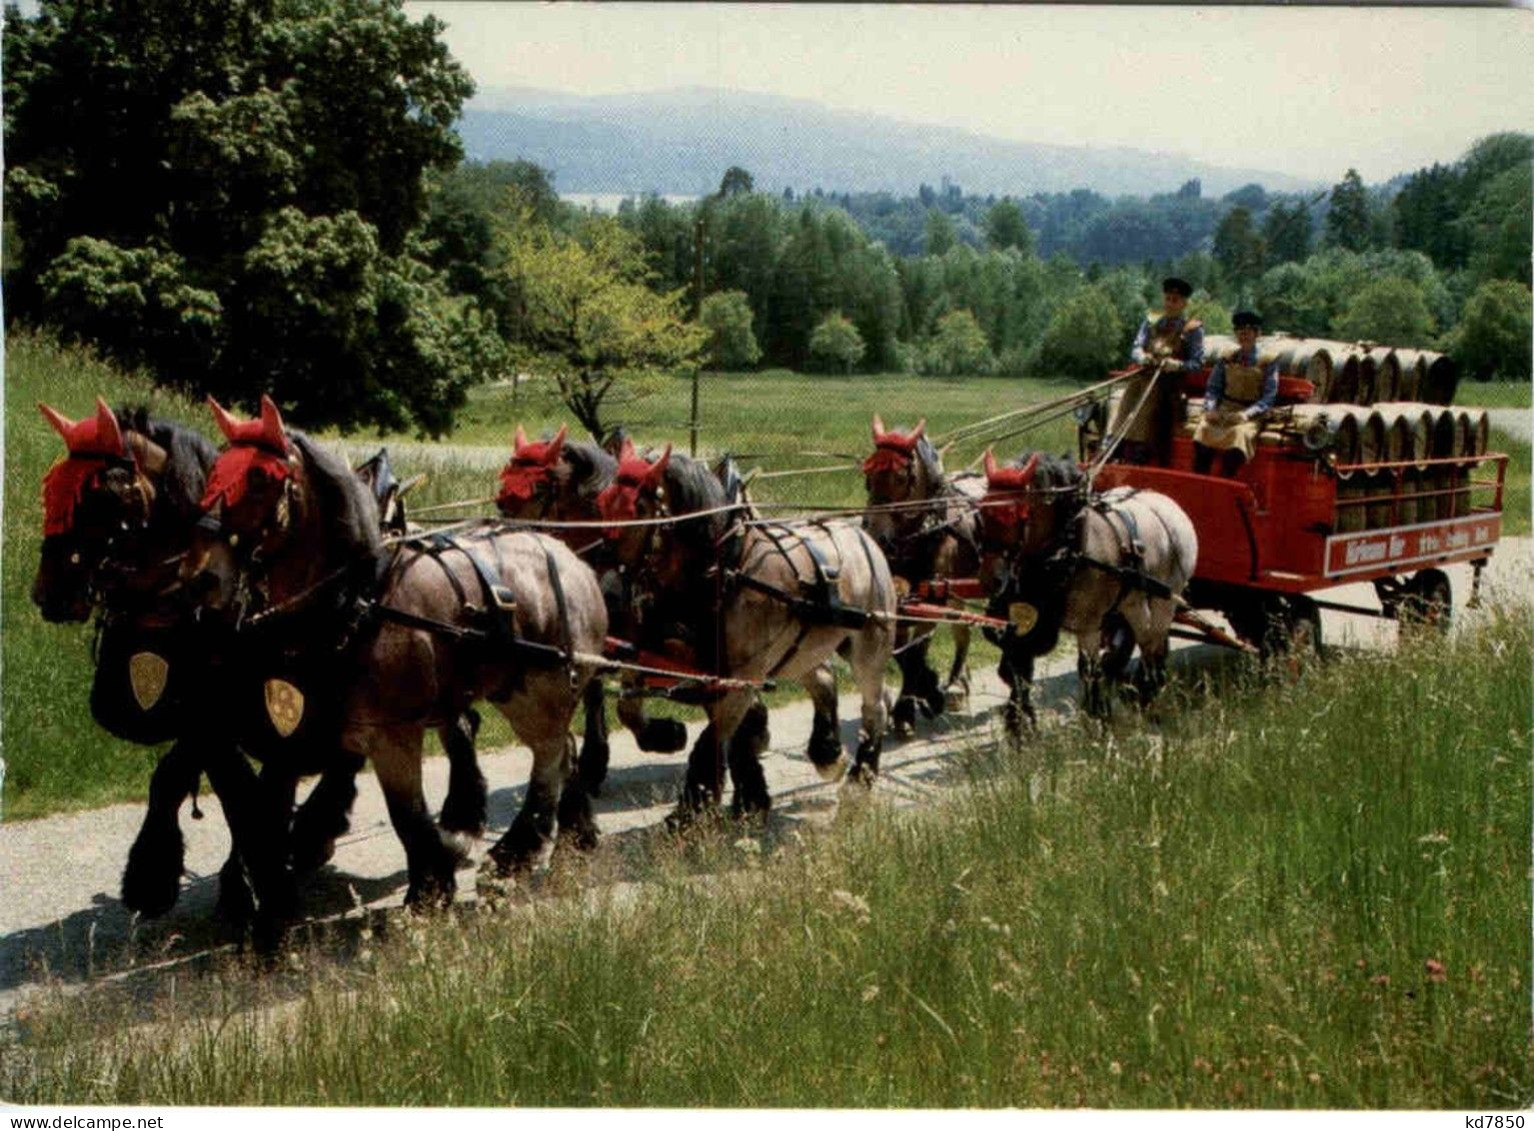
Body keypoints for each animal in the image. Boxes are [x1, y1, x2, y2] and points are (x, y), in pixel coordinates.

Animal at [182, 395, 607, 908]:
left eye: (260, 478)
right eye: (214, 473)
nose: (202, 577)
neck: (358, 598)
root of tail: (572, 560)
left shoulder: (392, 735)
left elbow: (406, 814)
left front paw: (428, 890)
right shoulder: (303, 726)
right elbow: (269, 799)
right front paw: (260, 874)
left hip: (540, 692)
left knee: (548, 761)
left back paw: (515, 852)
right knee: (562, 753)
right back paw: (569, 837)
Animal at [595, 435, 895, 816]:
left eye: (637, 508)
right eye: (603, 502)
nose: (605, 587)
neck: (723, 567)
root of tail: (862, 536)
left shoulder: (742, 674)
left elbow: (713, 739)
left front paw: (691, 810)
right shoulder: (682, 662)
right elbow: (630, 708)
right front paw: (669, 737)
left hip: (869, 644)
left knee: (875, 706)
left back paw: (859, 778)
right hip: (803, 647)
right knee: (826, 680)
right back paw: (828, 754)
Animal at [981, 451, 1196, 727]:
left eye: (1013, 513)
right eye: (982, 511)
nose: (990, 579)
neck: (1070, 544)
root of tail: (1168, 504)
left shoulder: (1089, 624)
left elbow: (1088, 670)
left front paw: (1096, 717)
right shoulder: (1028, 616)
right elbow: (1018, 667)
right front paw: (1019, 721)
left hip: (1166, 598)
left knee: (1155, 644)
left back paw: (1151, 695)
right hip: (1133, 601)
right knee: (1147, 639)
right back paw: (1144, 693)